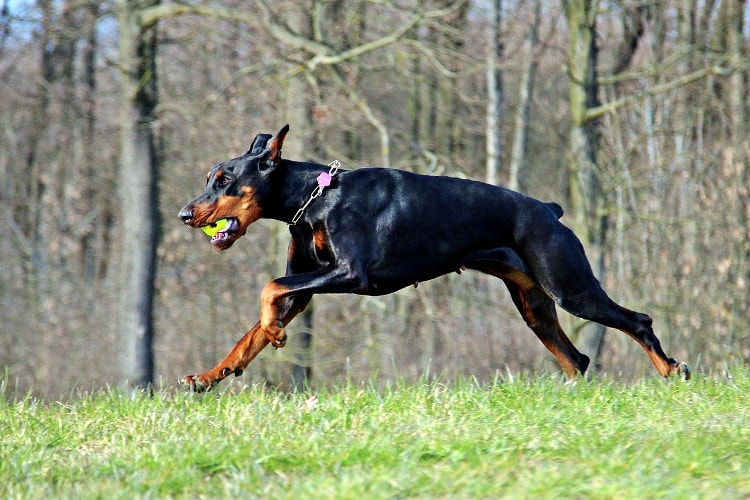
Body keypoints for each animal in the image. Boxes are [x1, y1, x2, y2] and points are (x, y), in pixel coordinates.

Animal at [179, 124, 692, 390]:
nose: (185, 214)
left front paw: (275, 332)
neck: (316, 198)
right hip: (535, 306)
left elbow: (269, 288)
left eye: (225, 180)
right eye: (208, 178)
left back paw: (671, 369)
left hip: (570, 287)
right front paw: (209, 375)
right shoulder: (308, 282)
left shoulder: (350, 274)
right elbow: (250, 333)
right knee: (577, 359)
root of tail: (548, 210)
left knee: (638, 320)